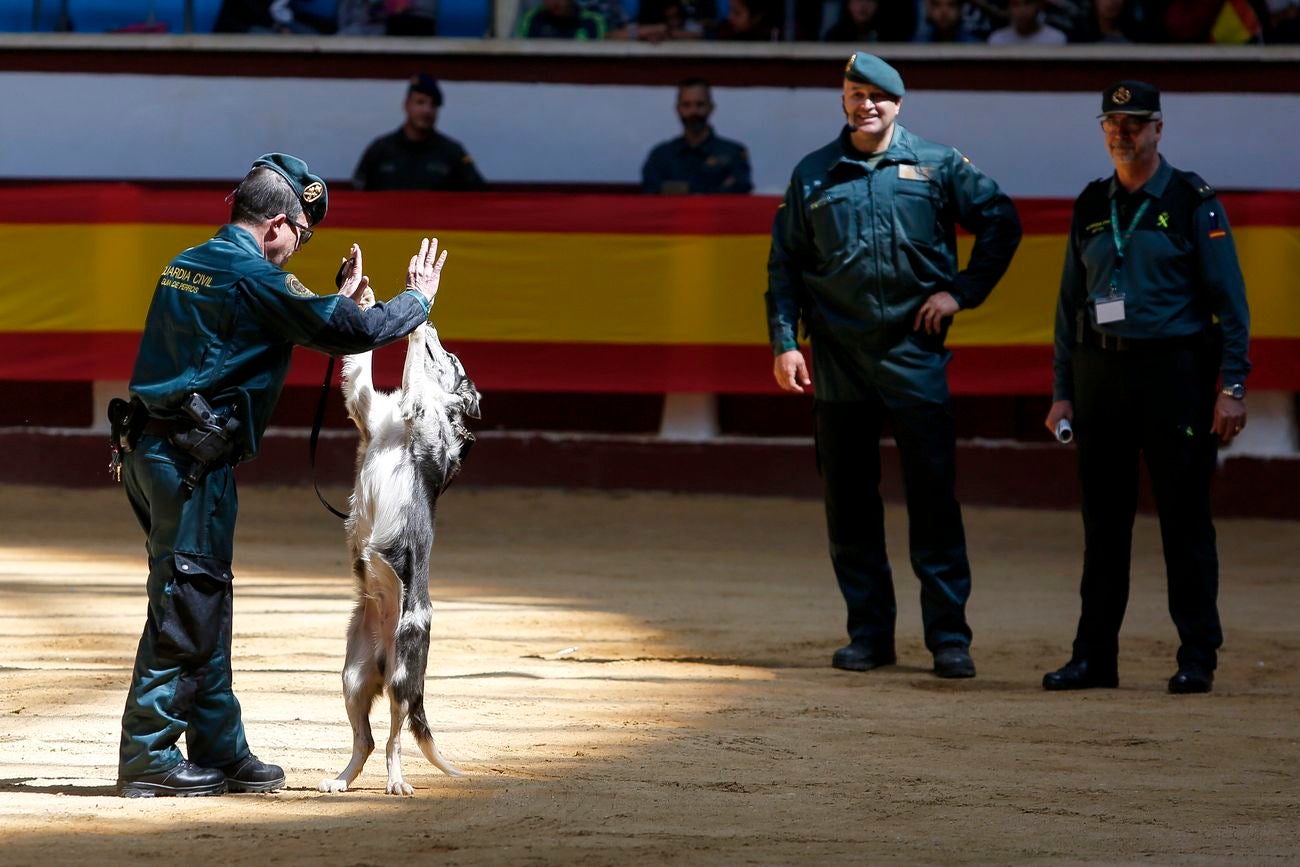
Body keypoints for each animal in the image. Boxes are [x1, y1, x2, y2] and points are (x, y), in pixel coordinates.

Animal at [319, 322, 483, 795]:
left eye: (451, 358)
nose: (434, 326)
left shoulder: (414, 407)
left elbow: (413, 375)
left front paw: (414, 326)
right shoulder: (364, 406)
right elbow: (362, 365)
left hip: (400, 679)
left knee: (393, 740)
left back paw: (397, 784)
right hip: (353, 679)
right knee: (367, 741)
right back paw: (341, 780)